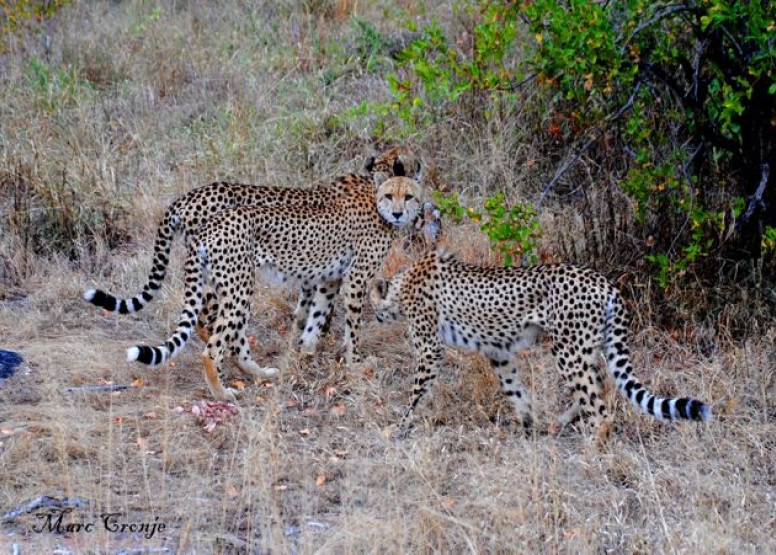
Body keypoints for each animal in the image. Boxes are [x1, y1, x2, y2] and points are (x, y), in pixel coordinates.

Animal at [366, 250, 712, 440]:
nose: (372, 316)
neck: (402, 283)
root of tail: (604, 282)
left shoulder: (429, 348)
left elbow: (415, 393)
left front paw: (398, 426)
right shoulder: (498, 351)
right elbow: (514, 390)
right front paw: (529, 423)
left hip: (568, 349)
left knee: (600, 407)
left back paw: (593, 449)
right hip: (584, 347)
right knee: (599, 384)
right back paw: (562, 421)